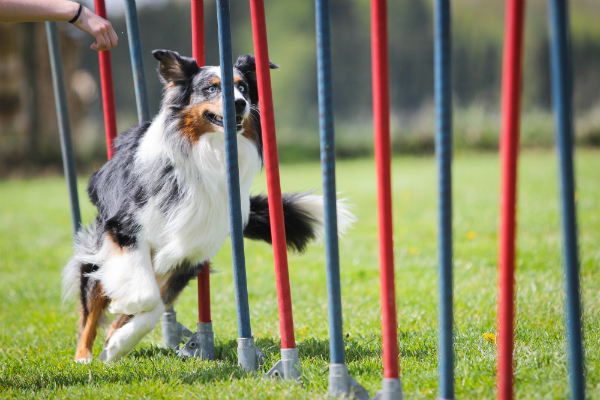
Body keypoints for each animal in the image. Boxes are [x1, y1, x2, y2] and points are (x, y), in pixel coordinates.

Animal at [62, 49, 352, 362]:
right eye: (212, 88)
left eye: (243, 88)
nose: (239, 103)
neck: (208, 153)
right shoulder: (124, 229)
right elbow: (144, 294)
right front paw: (124, 308)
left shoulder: (190, 255)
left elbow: (157, 305)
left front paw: (120, 341)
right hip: (98, 251)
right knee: (90, 310)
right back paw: (83, 357)